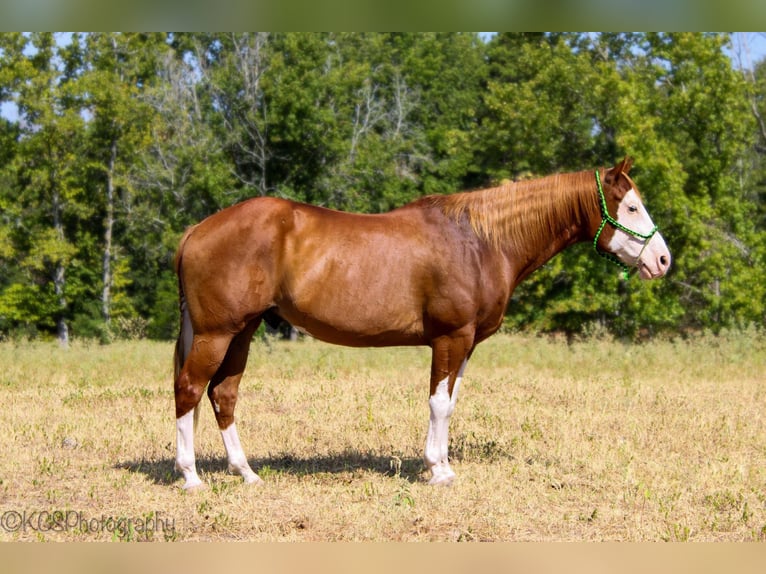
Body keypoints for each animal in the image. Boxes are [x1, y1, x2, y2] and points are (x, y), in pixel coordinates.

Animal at [174, 158, 672, 490]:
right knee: (190, 389)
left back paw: (246, 473)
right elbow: (437, 403)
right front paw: (436, 471)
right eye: (630, 207)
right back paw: (191, 477)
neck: (481, 241)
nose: (663, 260)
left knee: (222, 394)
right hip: (218, 333)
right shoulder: (451, 338)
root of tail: (196, 229)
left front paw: (445, 465)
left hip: (243, 331)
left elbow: (448, 405)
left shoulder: (467, 344)